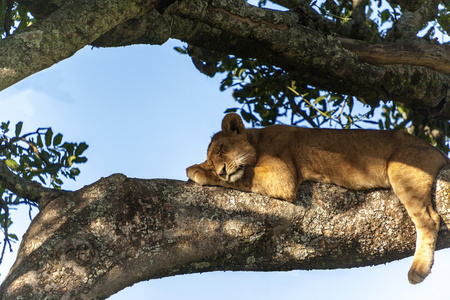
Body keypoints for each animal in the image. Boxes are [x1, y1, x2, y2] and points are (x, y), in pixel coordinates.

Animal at [186, 112, 450, 284]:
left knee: (430, 220)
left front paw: (198, 171)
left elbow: (243, 177)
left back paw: (418, 269)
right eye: (213, 157)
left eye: (222, 149)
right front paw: (201, 167)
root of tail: (439, 151)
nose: (221, 170)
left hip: (402, 171)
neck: (257, 141)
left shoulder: (282, 176)